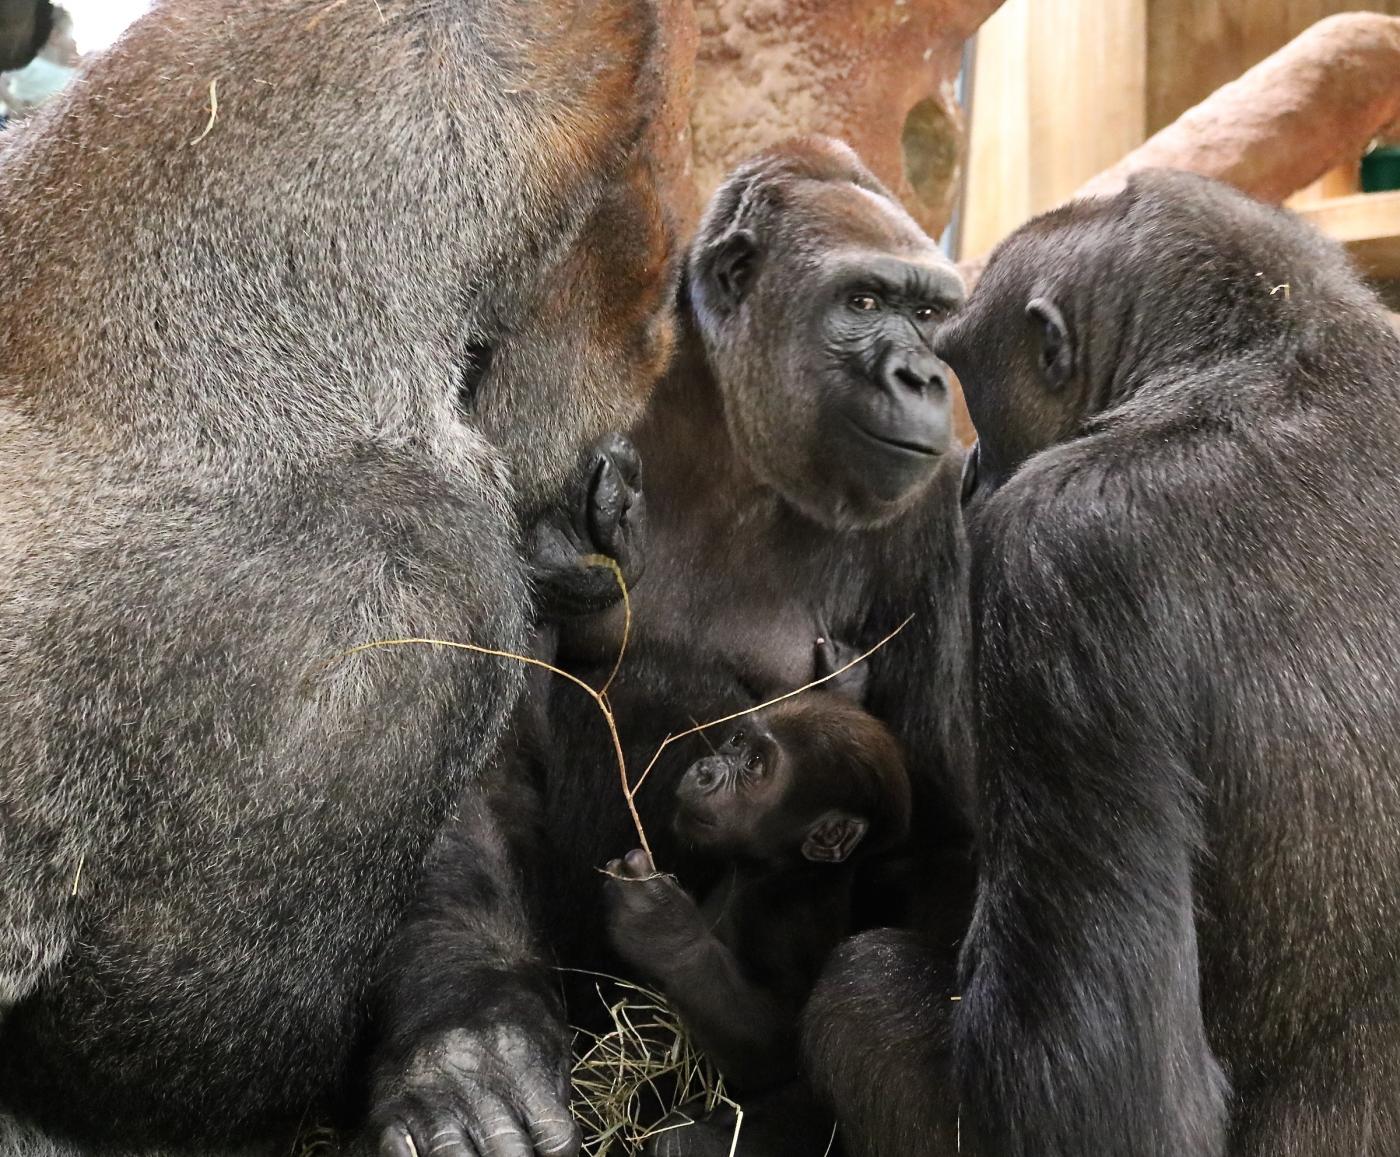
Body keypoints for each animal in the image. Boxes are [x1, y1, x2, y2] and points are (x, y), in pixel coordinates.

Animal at [602, 694, 907, 1092]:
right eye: (737, 740)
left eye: (754, 764)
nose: (705, 769)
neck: (783, 870)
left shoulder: (779, 915)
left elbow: (772, 1051)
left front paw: (663, 932)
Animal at [812, 166, 1400, 1148]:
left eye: (969, 379)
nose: (969, 476)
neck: (1275, 338)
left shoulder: (1054, 554)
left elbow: (1088, 1103)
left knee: (862, 993)